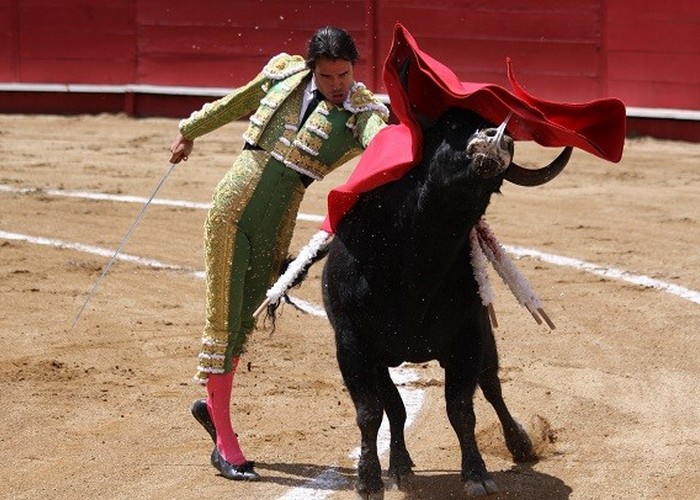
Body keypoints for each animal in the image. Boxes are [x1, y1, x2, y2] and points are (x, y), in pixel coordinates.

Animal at [320, 106, 572, 498]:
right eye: (452, 125)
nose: (499, 136)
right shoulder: (352, 342)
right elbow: (370, 411)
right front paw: (369, 479)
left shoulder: (468, 338)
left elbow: (461, 408)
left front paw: (477, 474)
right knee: (395, 408)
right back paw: (400, 466)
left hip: (485, 340)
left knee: (492, 387)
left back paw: (520, 444)